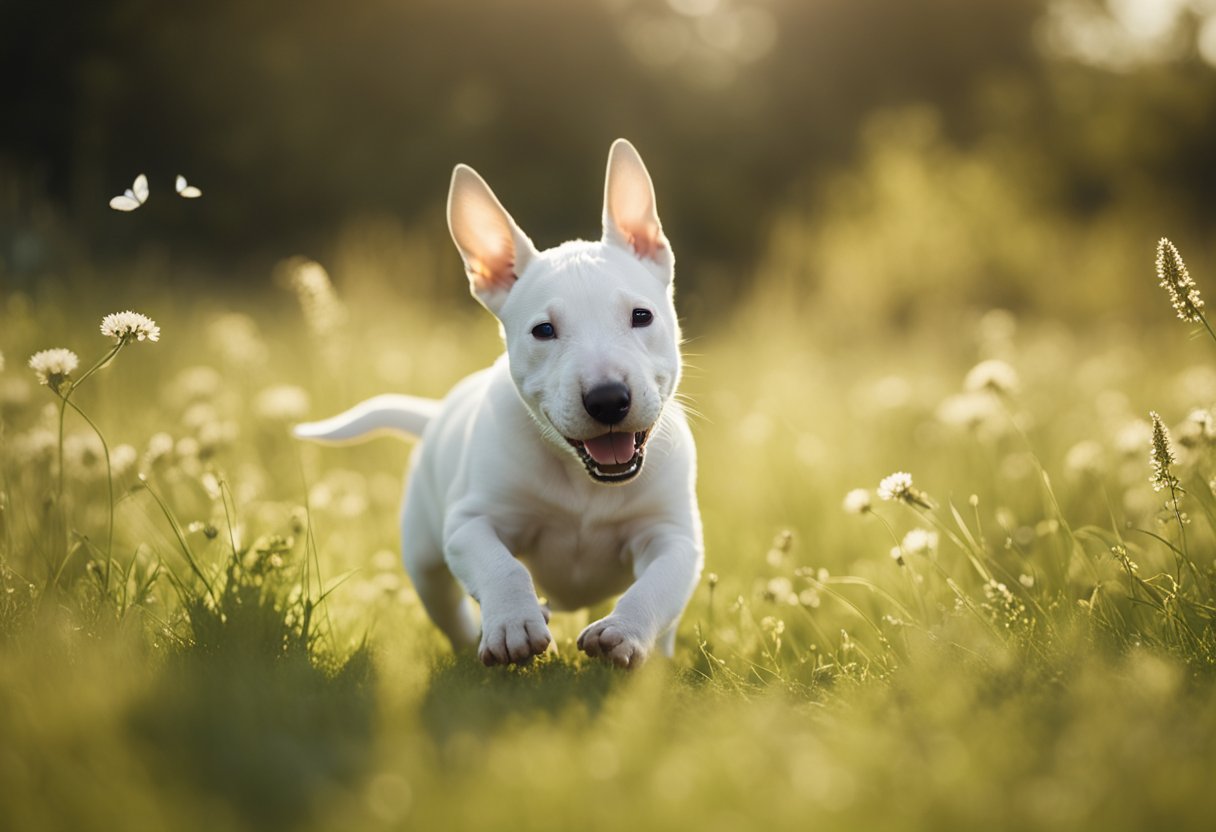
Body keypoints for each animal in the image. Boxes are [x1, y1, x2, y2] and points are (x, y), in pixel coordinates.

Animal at [293, 138, 705, 671]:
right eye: (543, 330)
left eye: (641, 316)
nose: (608, 399)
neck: (584, 482)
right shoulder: (470, 523)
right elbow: (501, 566)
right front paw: (514, 626)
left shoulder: (674, 537)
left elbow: (657, 583)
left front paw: (623, 633)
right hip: (425, 559)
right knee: (449, 610)